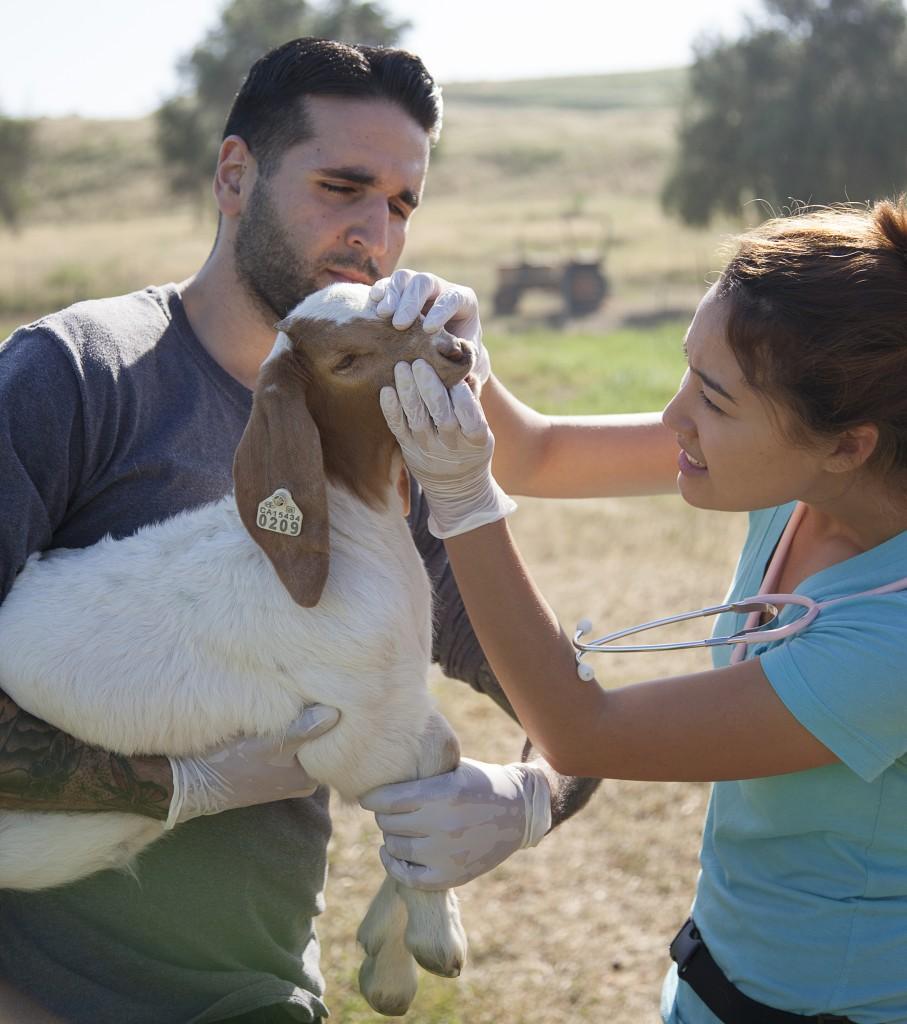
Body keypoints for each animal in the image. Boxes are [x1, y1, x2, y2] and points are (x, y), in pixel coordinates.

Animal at [0, 280, 472, 1015]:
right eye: (345, 359)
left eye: (401, 310)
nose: (457, 352)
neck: (348, 539)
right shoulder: (348, 735)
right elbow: (420, 780)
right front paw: (422, 948)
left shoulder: (393, 706)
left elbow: (440, 768)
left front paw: (386, 953)